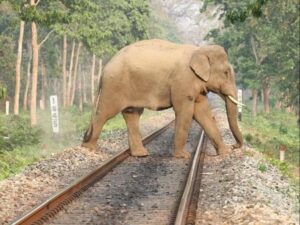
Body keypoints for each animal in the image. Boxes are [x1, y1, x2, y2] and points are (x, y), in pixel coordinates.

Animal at [82, 38, 244, 158]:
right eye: (226, 73)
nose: (234, 146)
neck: (198, 50)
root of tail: (104, 69)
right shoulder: (182, 81)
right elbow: (185, 112)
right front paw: (182, 156)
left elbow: (203, 113)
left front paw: (224, 153)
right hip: (114, 86)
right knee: (105, 113)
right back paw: (88, 148)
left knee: (132, 115)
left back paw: (141, 154)